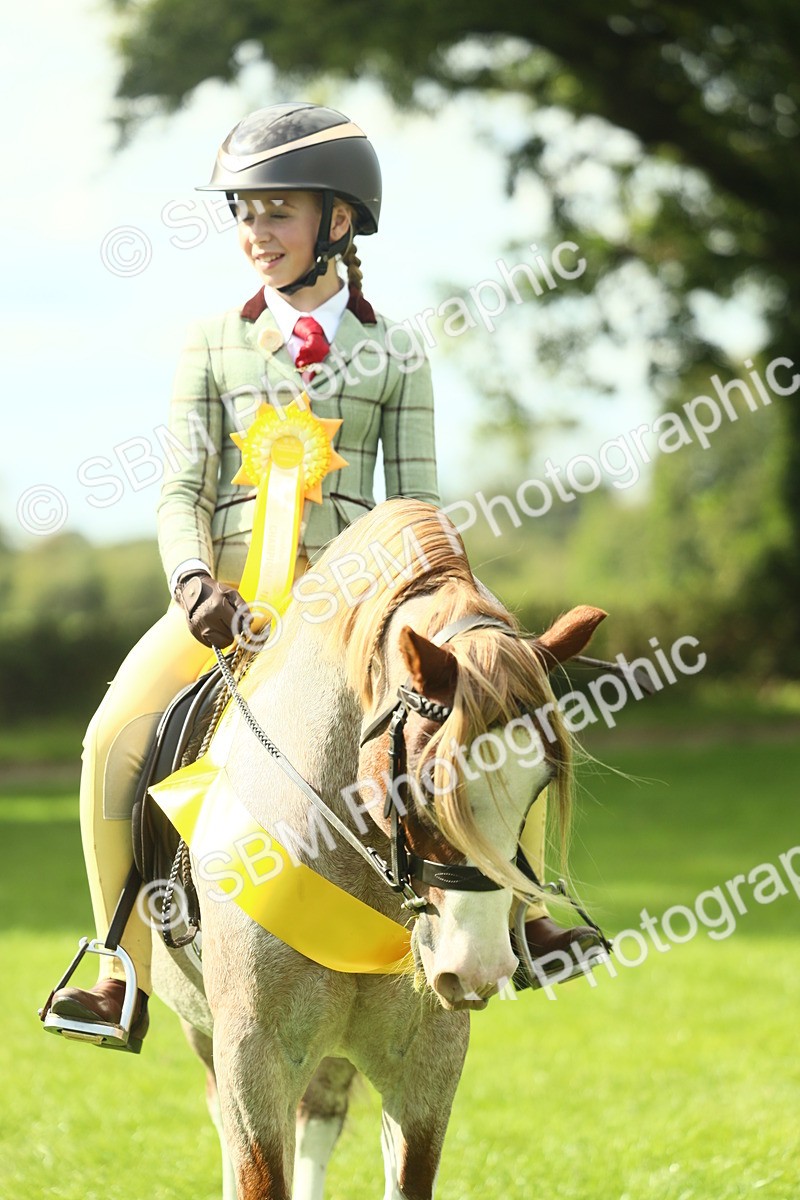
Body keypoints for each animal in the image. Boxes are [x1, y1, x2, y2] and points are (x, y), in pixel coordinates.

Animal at [149, 497, 606, 1200]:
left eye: (537, 788)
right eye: (421, 780)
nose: (475, 967)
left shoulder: (427, 1062)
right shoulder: (250, 1054)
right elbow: (254, 1166)